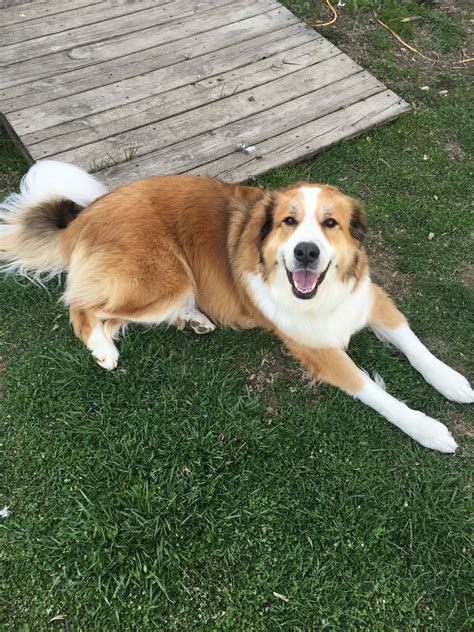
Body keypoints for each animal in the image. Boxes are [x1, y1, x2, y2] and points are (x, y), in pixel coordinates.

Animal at [1, 160, 472, 452]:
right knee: (82, 307)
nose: (305, 252)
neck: (320, 295)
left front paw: (452, 381)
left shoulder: (370, 298)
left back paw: (192, 319)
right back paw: (104, 349)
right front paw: (427, 429)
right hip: (166, 279)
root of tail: (86, 215)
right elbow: (378, 394)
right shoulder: (317, 352)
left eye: (330, 224)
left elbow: (416, 346)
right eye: (288, 222)